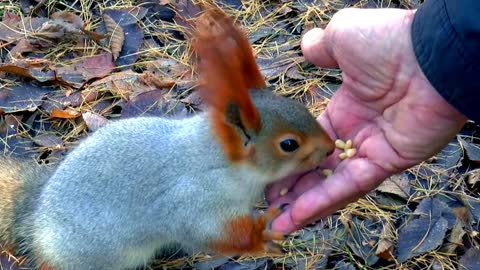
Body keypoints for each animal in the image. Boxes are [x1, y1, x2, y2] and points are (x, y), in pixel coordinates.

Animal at [0, 6, 336, 270]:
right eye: (289, 144)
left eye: (301, 108)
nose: (332, 148)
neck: (220, 162)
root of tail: (36, 219)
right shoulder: (192, 201)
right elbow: (206, 234)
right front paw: (260, 233)